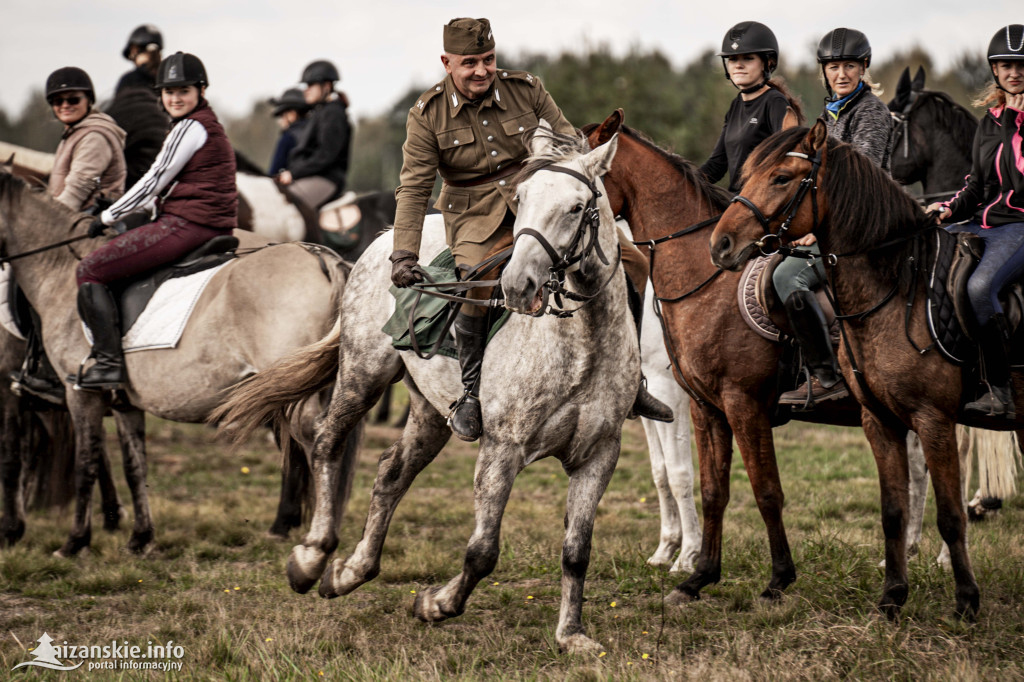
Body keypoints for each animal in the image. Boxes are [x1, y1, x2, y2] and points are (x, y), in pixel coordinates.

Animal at [0, 168, 350, 552]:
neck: (59, 269)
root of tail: (317, 256)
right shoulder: (124, 404)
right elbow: (134, 466)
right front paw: (140, 537)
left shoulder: (79, 394)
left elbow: (81, 464)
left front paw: (74, 541)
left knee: (314, 444)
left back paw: (315, 535)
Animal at [211, 124, 634, 651]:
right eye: (520, 198)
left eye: (577, 207)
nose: (517, 284)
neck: (583, 349)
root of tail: (381, 243)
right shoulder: (502, 451)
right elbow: (482, 551)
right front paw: (436, 604)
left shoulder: (599, 456)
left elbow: (576, 550)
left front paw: (572, 635)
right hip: (363, 373)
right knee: (328, 443)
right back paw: (311, 558)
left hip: (432, 411)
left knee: (392, 472)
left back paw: (351, 571)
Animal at [708, 119, 987, 618]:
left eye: (781, 177)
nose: (720, 245)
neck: (901, 287)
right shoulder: (880, 418)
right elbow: (891, 510)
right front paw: (893, 597)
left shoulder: (934, 418)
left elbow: (950, 513)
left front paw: (966, 602)